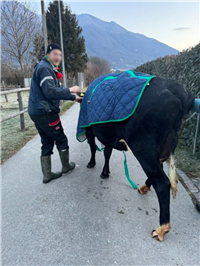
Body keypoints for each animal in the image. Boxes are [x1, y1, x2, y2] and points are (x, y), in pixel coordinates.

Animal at [85, 76, 195, 241]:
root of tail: (177, 90)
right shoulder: (109, 136)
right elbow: (107, 152)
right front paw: (105, 172)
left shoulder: (89, 128)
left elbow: (93, 148)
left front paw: (92, 163)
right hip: (165, 146)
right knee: (157, 172)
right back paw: (144, 187)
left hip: (143, 146)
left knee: (162, 182)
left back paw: (162, 228)